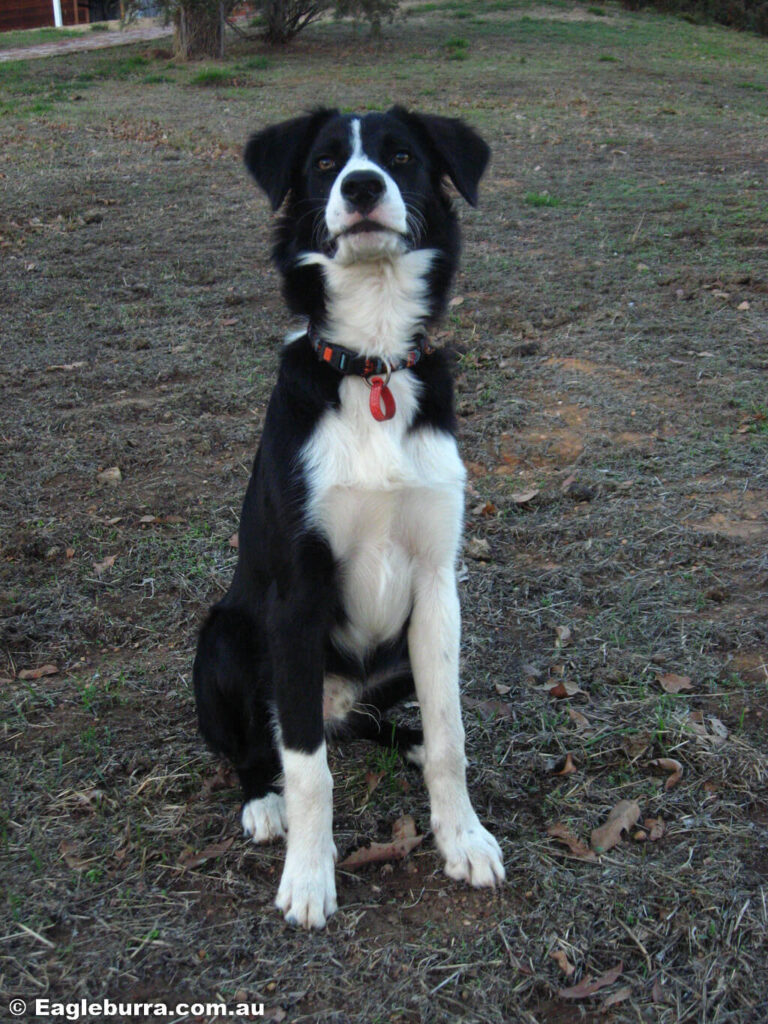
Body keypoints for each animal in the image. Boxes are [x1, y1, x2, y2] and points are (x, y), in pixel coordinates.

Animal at [192, 105, 505, 929]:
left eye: (402, 155)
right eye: (326, 163)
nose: (362, 186)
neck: (371, 368)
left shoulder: (437, 584)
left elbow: (453, 733)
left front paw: (463, 837)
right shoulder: (297, 597)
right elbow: (310, 772)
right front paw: (308, 878)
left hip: (392, 661)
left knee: (371, 724)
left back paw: (406, 741)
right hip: (225, 637)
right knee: (262, 747)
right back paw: (262, 803)